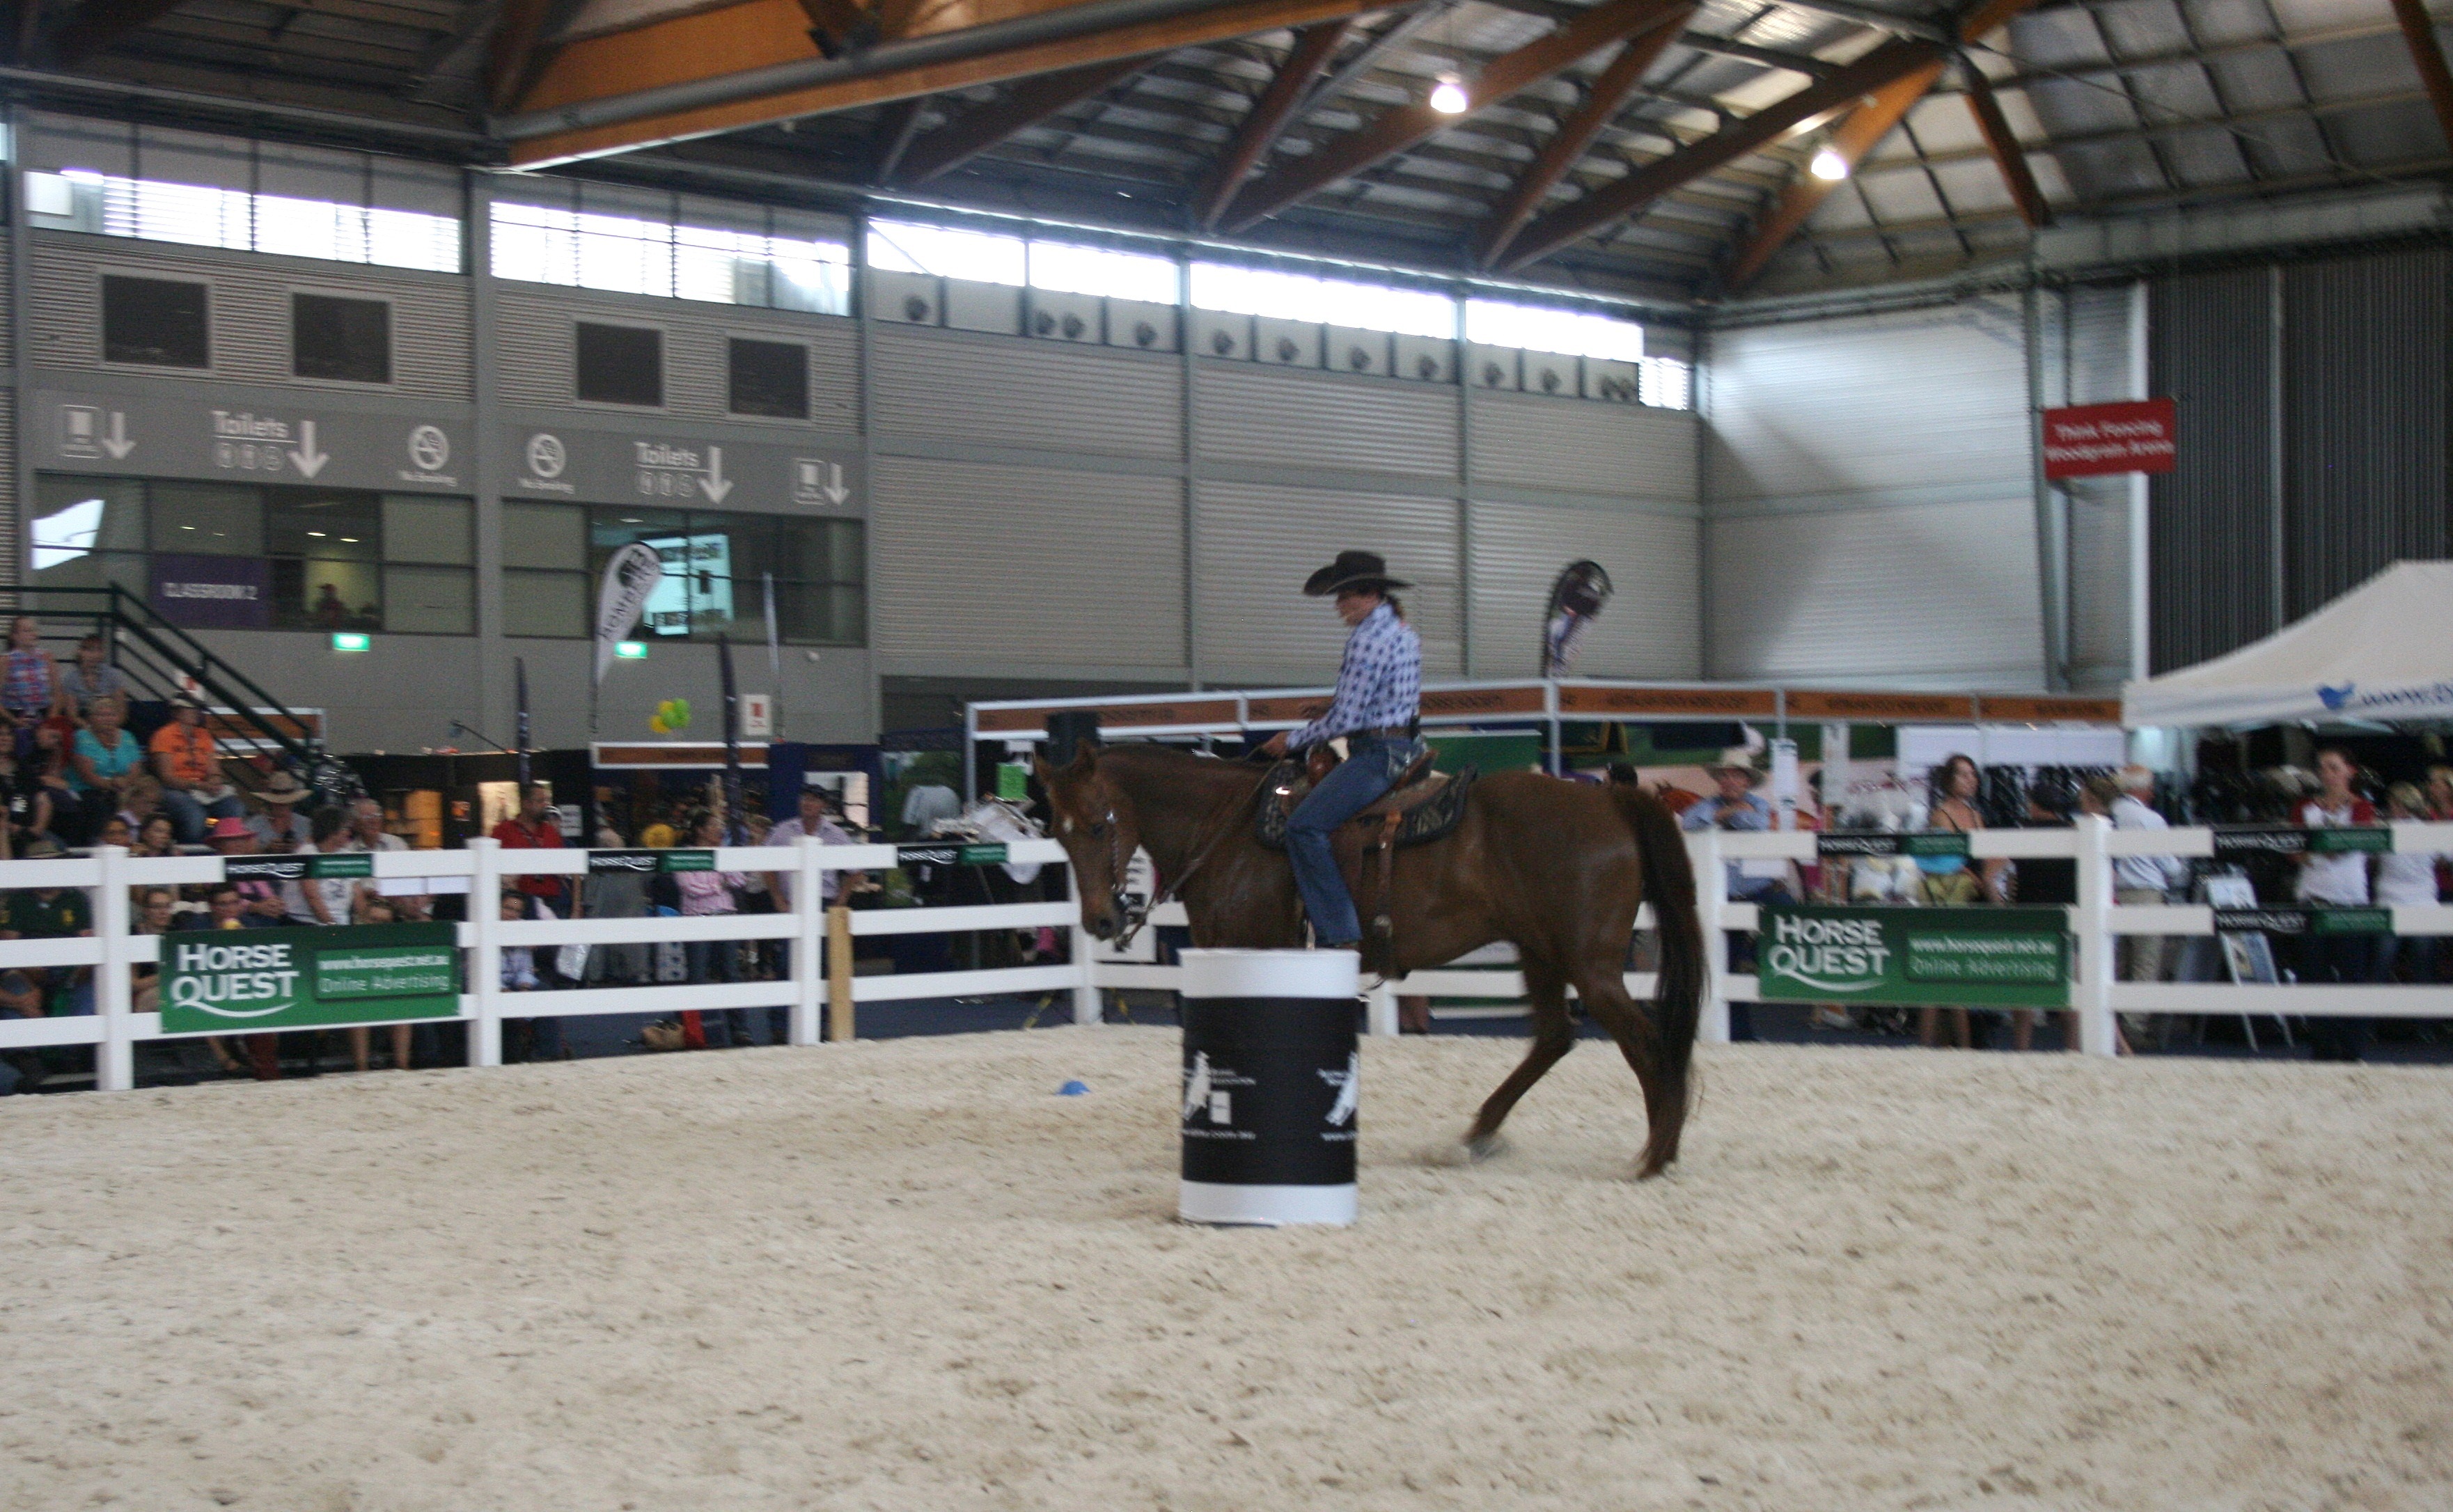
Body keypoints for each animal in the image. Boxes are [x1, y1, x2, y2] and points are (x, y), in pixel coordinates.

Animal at [1035, 745, 1707, 1181]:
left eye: (1097, 826)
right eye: (1058, 834)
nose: (1100, 922)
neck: (1226, 832)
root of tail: (1613, 800)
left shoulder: (1254, 949)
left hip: (1588, 963)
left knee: (1645, 1041)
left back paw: (1656, 1155)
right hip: (1540, 952)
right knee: (1555, 1038)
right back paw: (1476, 1137)